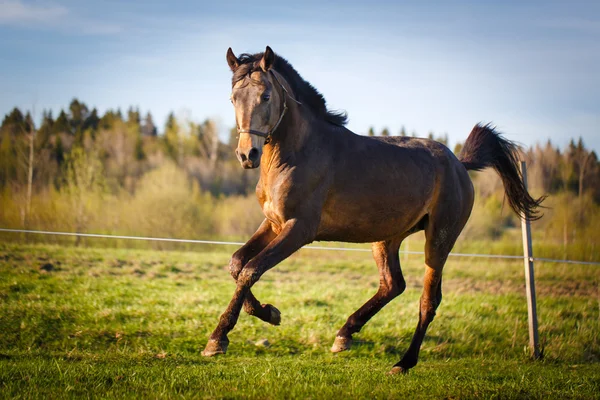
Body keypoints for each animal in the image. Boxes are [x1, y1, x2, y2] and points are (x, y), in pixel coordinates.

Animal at [203, 47, 544, 376]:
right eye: (233, 98)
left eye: (265, 96)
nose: (247, 154)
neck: (296, 154)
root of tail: (459, 163)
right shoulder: (273, 223)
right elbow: (237, 264)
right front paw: (269, 313)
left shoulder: (299, 229)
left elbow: (251, 269)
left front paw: (218, 339)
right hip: (386, 238)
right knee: (393, 284)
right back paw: (345, 335)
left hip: (439, 240)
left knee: (428, 300)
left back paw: (403, 363)